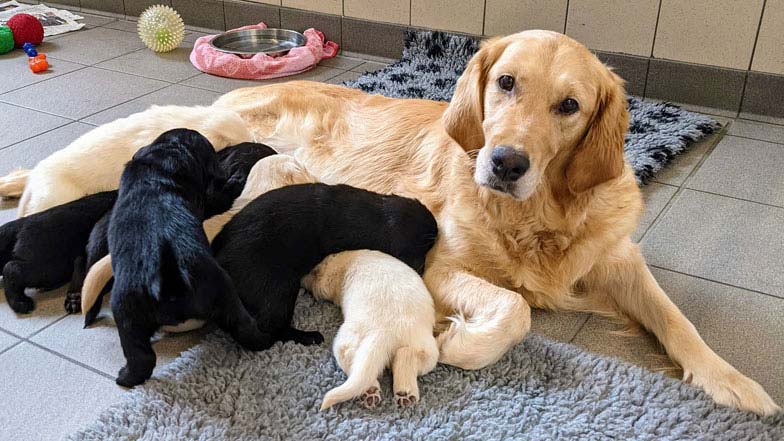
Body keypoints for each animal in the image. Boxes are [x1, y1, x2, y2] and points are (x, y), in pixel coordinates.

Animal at [108, 127, 272, 384]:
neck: (163, 162)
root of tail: (170, 278)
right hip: (223, 294)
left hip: (125, 310)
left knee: (141, 357)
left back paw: (125, 377)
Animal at [211, 182, 438, 348]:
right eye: (424, 249)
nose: (435, 226)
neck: (376, 216)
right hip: (279, 289)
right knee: (272, 329)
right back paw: (307, 336)